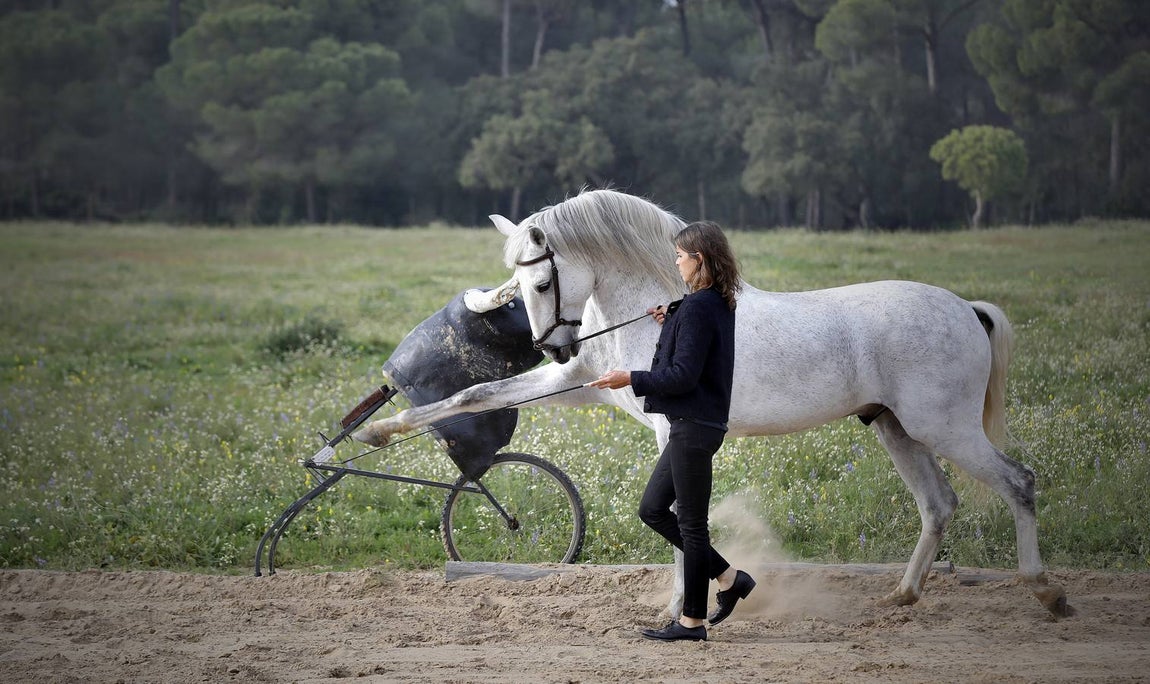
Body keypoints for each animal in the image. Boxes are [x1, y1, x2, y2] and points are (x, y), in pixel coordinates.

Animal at [355, 188, 1073, 619]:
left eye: (538, 281)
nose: (555, 350)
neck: (662, 304)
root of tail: (966, 309)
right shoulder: (588, 383)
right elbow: (474, 392)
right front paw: (380, 431)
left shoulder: (665, 427)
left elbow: (679, 518)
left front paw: (681, 607)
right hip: (897, 429)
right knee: (939, 504)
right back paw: (902, 594)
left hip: (942, 426)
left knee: (1018, 482)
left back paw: (1046, 592)